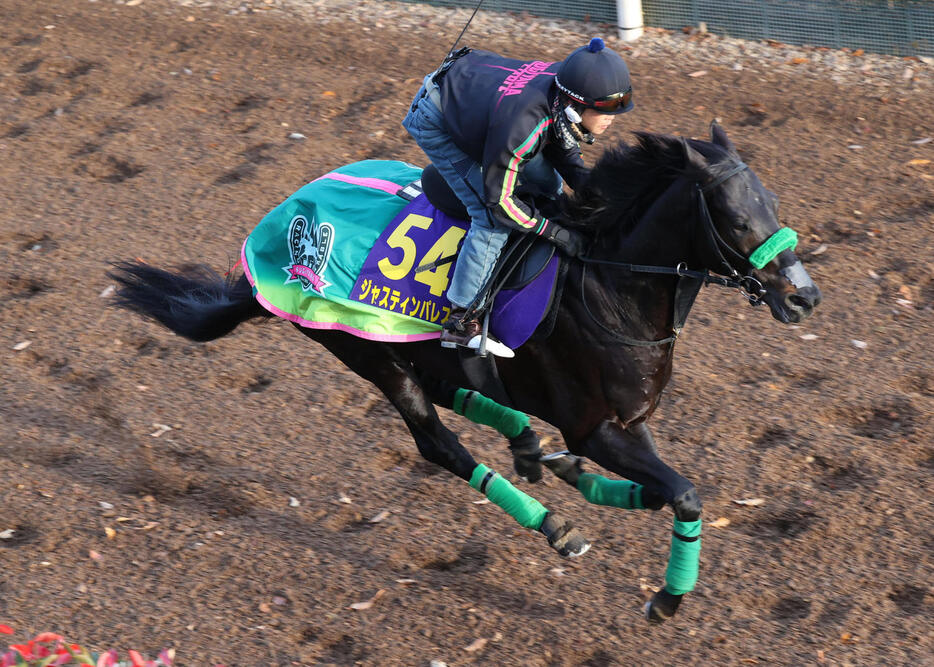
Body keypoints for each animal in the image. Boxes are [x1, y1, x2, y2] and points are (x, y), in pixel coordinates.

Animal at [109, 121, 824, 628]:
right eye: (737, 219)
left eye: (773, 201)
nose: (804, 296)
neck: (609, 285)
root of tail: (276, 227)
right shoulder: (595, 426)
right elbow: (683, 493)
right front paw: (665, 600)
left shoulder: (628, 422)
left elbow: (665, 488)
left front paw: (575, 473)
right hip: (361, 347)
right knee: (437, 441)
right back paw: (552, 522)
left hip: (413, 346)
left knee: (457, 392)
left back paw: (531, 449)